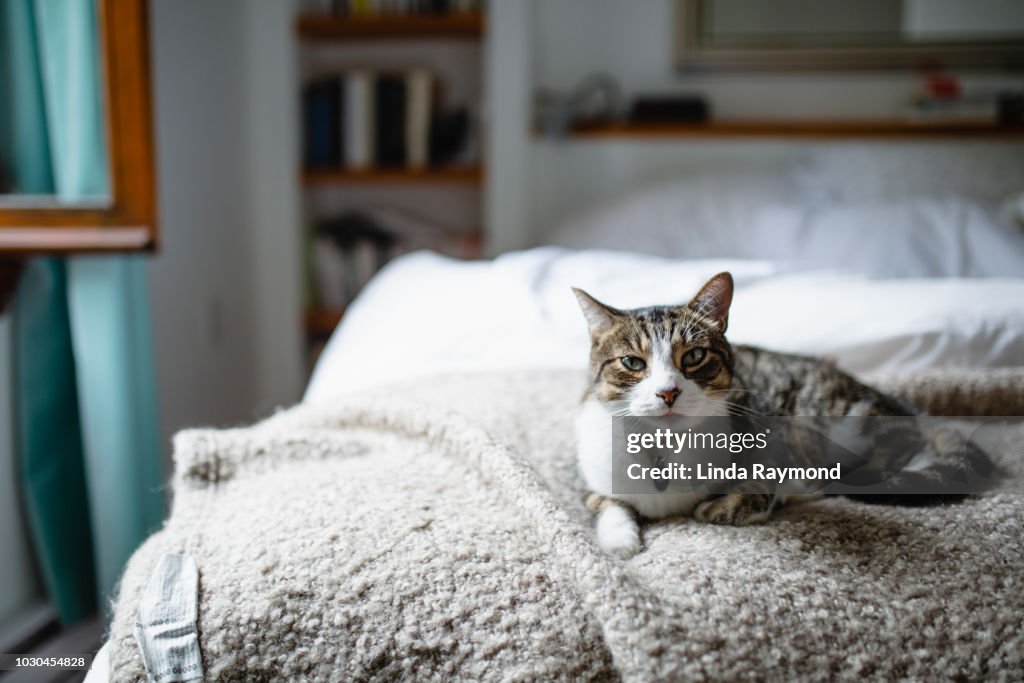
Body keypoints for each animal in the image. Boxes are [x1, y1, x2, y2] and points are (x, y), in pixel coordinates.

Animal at [573, 270, 995, 557]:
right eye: (632, 362)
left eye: (694, 356)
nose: (668, 392)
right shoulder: (591, 475)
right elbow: (606, 503)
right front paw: (620, 540)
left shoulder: (769, 434)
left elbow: (758, 488)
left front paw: (722, 506)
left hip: (832, 418)